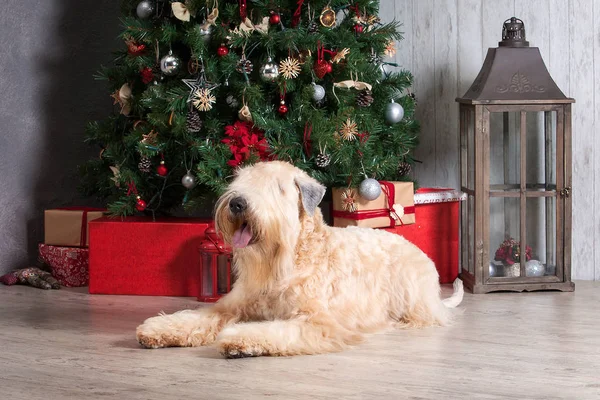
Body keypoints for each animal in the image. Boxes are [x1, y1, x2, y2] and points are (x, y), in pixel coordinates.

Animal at [137, 161, 464, 358]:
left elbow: (271, 330)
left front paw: (239, 339)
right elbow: (196, 317)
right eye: (240, 181)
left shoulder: (316, 322)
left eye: (277, 189)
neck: (287, 261)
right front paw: (157, 330)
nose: (237, 203)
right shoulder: (228, 306)